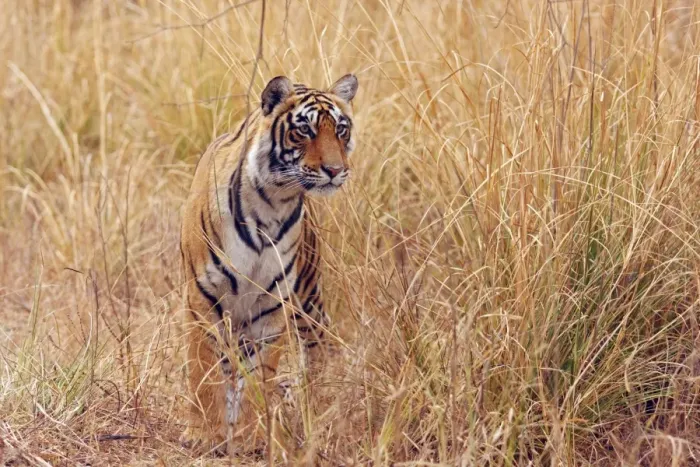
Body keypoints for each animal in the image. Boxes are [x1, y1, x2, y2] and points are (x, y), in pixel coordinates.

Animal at [179, 74, 358, 454]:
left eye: (341, 129)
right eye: (304, 130)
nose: (335, 170)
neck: (273, 202)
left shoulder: (272, 303)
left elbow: (259, 375)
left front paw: (252, 436)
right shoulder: (202, 297)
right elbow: (202, 369)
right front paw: (202, 434)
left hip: (308, 299)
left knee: (317, 351)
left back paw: (312, 412)